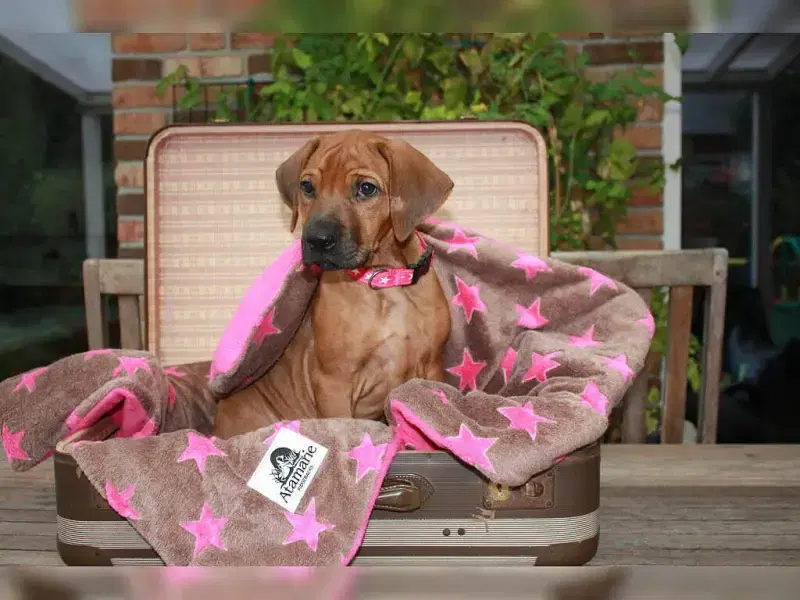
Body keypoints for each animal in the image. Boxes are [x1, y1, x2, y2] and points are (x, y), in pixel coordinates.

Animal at [212, 130, 453, 439]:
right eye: (307, 186)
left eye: (366, 188)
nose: (316, 240)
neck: (383, 281)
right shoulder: (334, 382)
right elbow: (344, 427)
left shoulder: (432, 368)